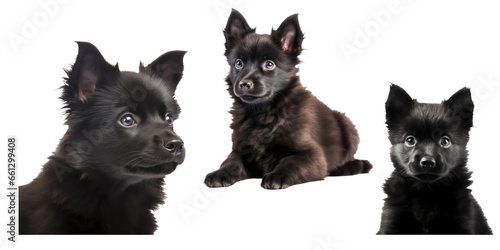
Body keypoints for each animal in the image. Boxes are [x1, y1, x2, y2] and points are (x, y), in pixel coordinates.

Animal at [203, 9, 372, 189]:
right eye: (238, 63)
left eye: (269, 64)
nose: (243, 84)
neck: (263, 112)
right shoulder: (240, 149)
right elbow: (231, 161)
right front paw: (220, 173)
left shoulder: (314, 156)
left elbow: (290, 161)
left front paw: (277, 175)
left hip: (348, 125)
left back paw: (353, 166)